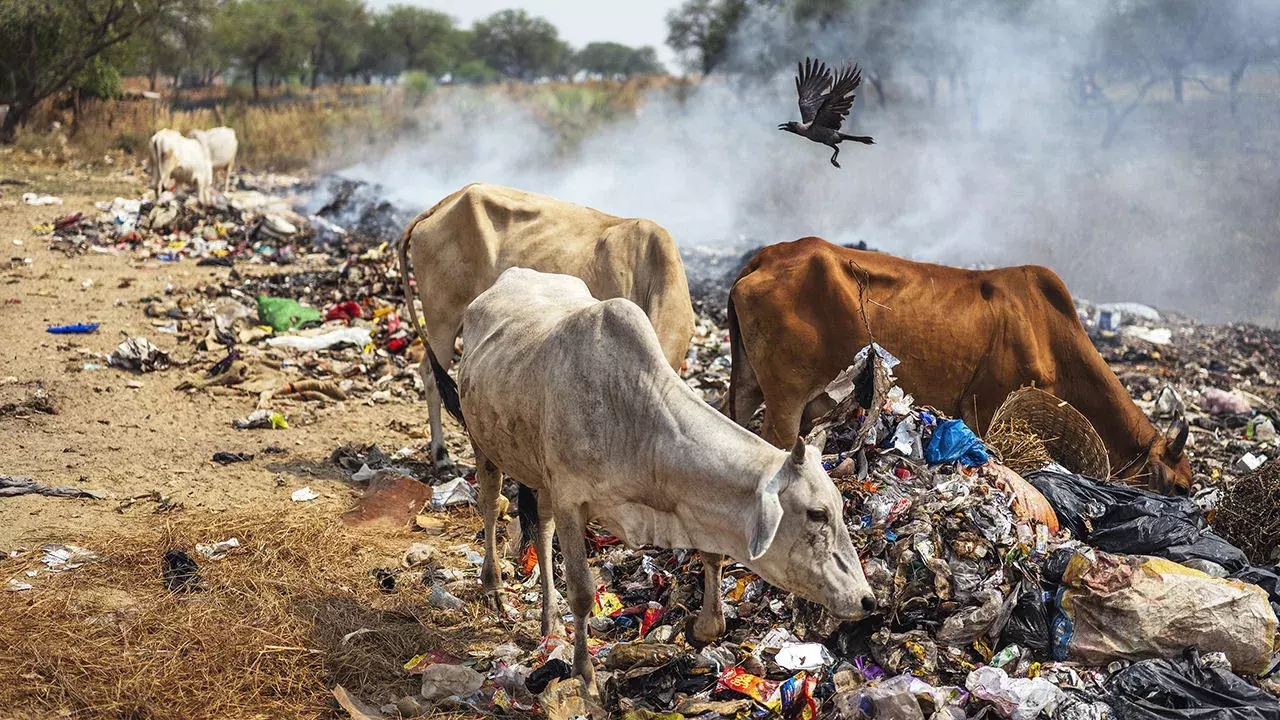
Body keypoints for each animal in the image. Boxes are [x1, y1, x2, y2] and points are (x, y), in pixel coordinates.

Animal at [425, 268, 876, 682]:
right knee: (489, 504)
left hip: (539, 471)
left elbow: (712, 559)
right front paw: (584, 675)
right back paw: (494, 587)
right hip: (484, 443)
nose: (867, 600)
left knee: (542, 527)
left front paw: (702, 628)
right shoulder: (572, 500)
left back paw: (549, 622)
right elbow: (583, 592)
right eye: (817, 514)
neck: (639, 425)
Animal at [726, 237, 1192, 494]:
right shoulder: (984, 408)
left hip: (748, 385)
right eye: (1179, 487)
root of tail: (767, 257)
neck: (1049, 332)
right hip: (786, 398)